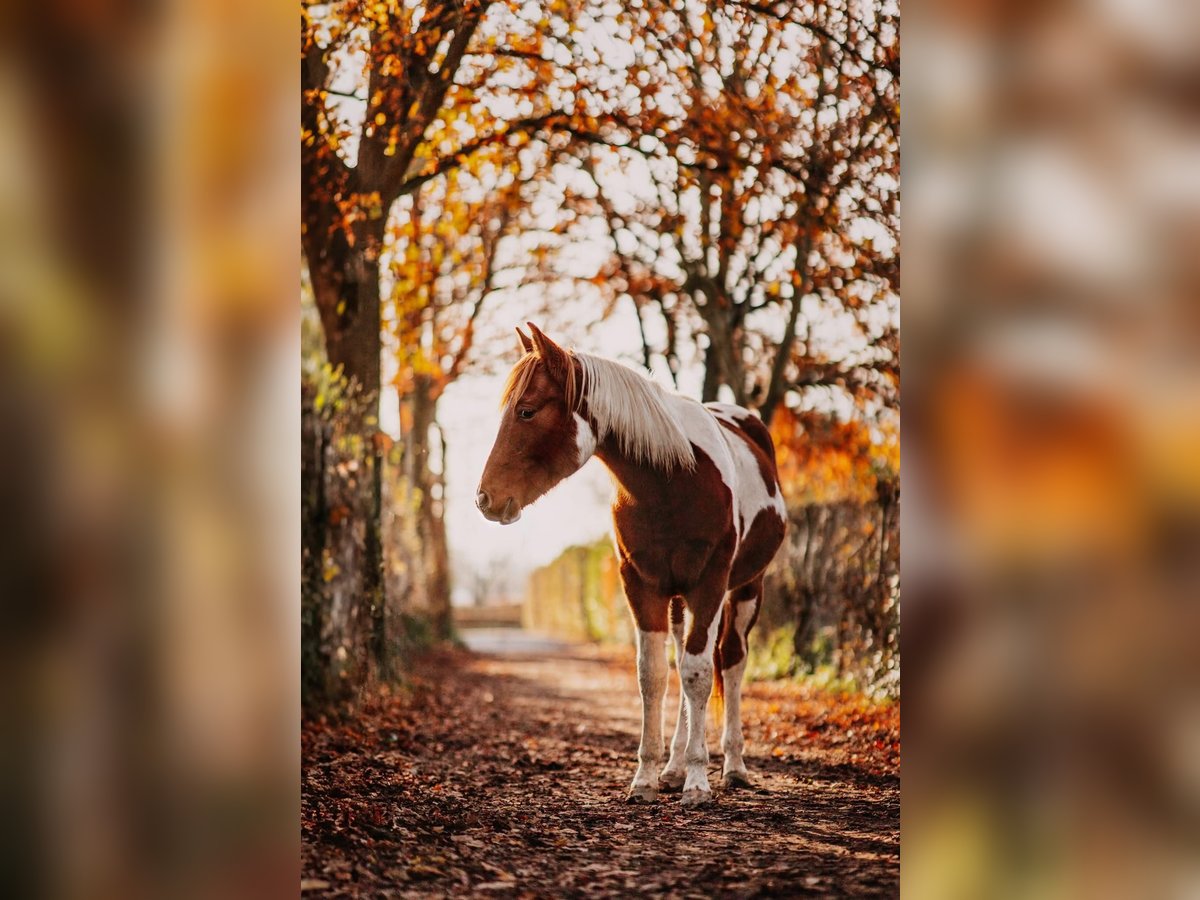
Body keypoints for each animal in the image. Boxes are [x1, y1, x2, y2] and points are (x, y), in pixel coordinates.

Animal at [477, 323, 787, 807]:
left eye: (526, 411)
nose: (485, 498)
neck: (672, 479)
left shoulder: (709, 584)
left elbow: (700, 675)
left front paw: (698, 783)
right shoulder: (642, 585)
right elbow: (654, 675)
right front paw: (646, 778)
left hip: (746, 588)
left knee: (731, 662)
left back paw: (733, 766)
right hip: (677, 599)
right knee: (681, 659)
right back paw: (674, 767)